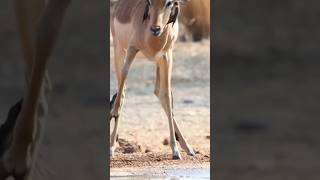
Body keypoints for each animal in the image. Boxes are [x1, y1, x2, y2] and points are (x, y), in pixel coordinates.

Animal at [110, 0, 195, 160]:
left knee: (159, 93)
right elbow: (121, 93)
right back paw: (112, 145)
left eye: (169, 2)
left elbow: (167, 96)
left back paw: (188, 148)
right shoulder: (132, 49)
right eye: (149, 2)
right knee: (122, 91)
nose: (155, 29)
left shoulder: (166, 56)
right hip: (119, 50)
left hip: (158, 62)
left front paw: (175, 151)